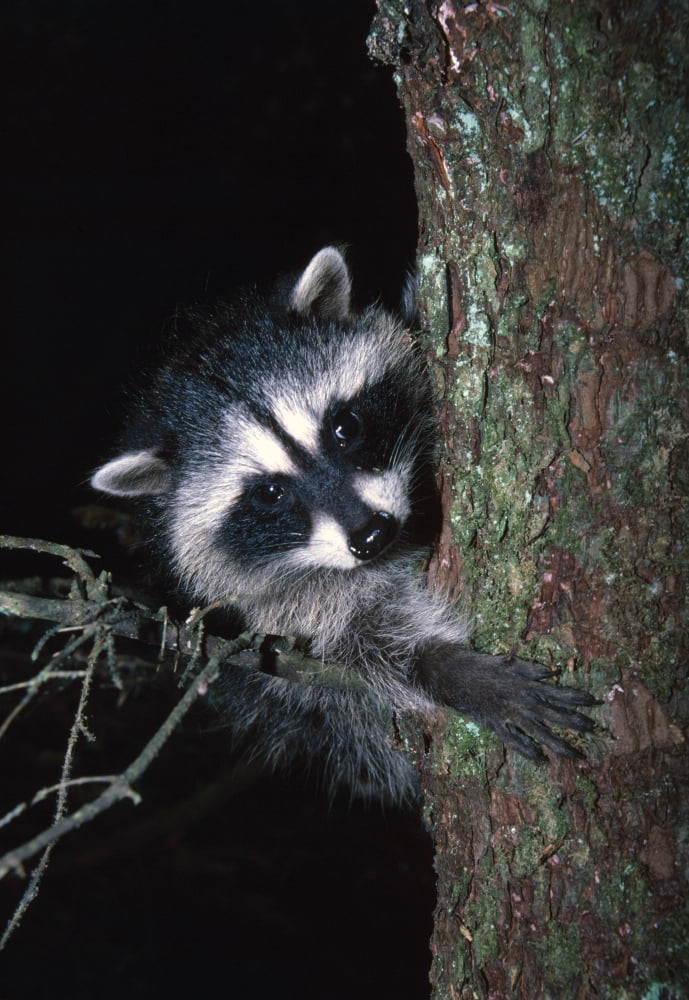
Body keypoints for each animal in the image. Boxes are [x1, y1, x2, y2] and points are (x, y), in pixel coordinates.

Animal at [91, 246, 595, 801]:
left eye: (345, 426)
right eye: (269, 493)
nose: (372, 535)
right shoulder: (274, 611)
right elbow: (357, 656)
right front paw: (445, 669)